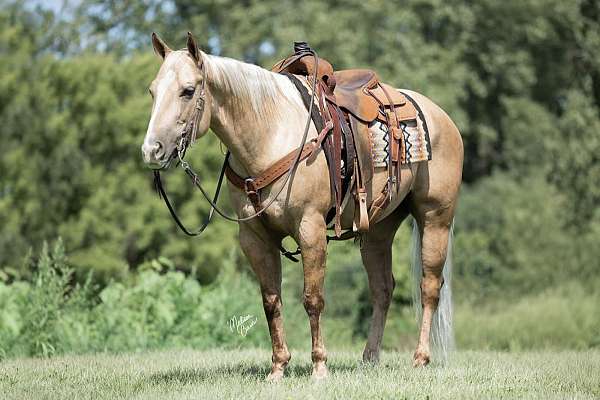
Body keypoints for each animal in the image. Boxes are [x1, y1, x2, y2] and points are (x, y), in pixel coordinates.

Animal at [142, 32, 464, 380]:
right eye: (152, 91)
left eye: (188, 91)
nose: (151, 150)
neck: (270, 135)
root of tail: (438, 114)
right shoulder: (254, 238)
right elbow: (271, 301)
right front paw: (278, 367)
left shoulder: (310, 229)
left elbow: (313, 299)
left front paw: (319, 367)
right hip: (379, 229)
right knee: (382, 288)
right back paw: (369, 357)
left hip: (435, 218)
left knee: (429, 287)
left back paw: (420, 358)